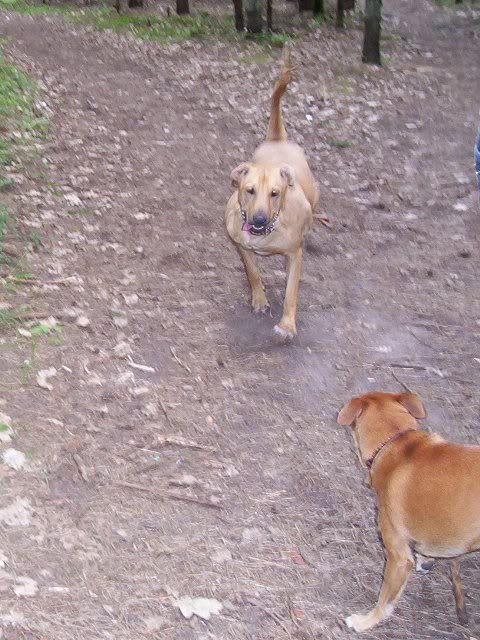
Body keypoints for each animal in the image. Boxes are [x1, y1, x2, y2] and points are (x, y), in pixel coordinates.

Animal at [224, 48, 319, 340]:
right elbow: (253, 272)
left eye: (275, 193)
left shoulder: (295, 255)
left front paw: (287, 325)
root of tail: (277, 138)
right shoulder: (240, 245)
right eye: (250, 190)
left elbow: (291, 292)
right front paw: (259, 300)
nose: (259, 219)